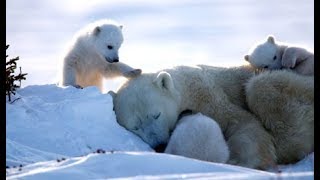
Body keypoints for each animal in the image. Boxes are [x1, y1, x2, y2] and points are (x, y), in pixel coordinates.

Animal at [112, 64, 312, 170]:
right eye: (135, 127)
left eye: (156, 114)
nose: (159, 145)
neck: (184, 89)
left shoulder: (207, 94)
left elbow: (242, 122)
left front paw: (241, 162)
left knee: (260, 86)